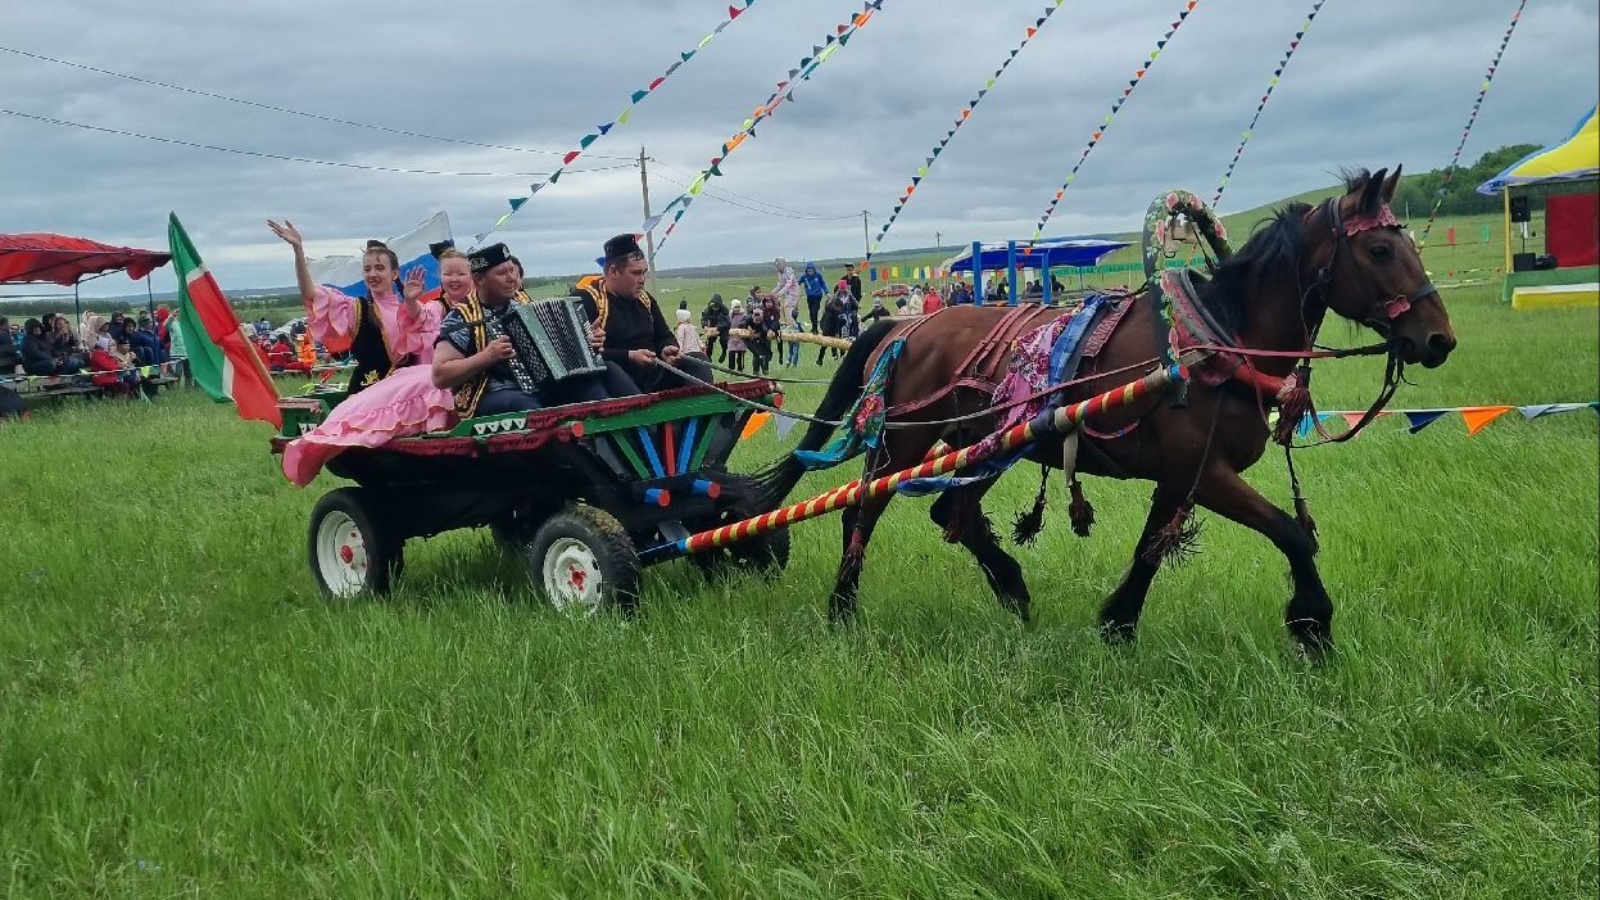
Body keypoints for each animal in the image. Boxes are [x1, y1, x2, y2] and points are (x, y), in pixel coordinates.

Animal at [755, 166, 1459, 650]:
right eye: (1379, 251)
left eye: (1412, 246)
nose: (1438, 339)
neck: (1214, 339)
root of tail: (904, 327)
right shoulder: (1205, 475)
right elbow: (1291, 533)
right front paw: (1313, 623)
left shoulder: (1180, 478)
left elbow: (1151, 551)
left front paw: (1117, 625)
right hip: (903, 440)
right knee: (863, 510)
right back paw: (843, 608)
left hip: (980, 446)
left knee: (952, 510)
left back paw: (1013, 590)